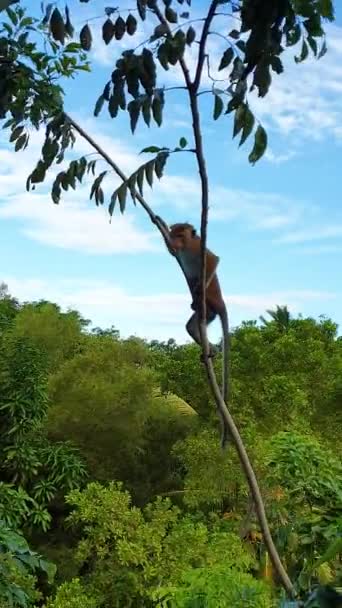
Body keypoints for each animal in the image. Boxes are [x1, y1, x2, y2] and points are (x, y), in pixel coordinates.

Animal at [154, 216, 230, 444]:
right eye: (175, 234)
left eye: (182, 235)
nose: (176, 240)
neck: (187, 246)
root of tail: (219, 303)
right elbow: (172, 251)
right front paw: (160, 221)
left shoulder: (199, 247)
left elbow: (214, 259)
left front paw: (199, 285)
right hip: (209, 312)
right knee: (192, 326)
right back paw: (211, 350)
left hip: (210, 301)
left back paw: (198, 294)